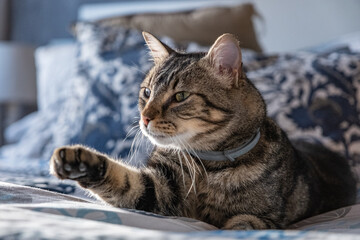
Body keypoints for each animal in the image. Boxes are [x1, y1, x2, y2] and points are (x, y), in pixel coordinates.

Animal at [50, 31, 358, 229]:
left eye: (180, 96)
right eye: (147, 92)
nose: (144, 118)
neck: (210, 167)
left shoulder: (264, 217)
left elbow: (241, 224)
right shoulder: (159, 191)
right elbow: (126, 181)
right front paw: (79, 161)